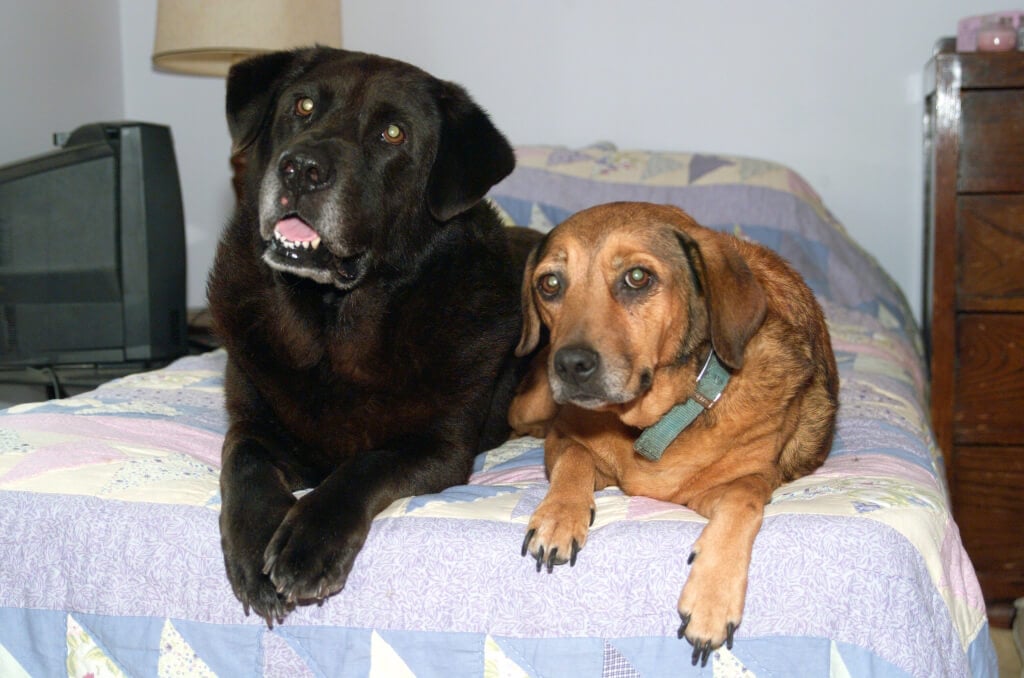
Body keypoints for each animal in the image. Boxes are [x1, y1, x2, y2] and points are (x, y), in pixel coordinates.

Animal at [209, 47, 544, 630]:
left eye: (393, 133)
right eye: (302, 105)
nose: (301, 168)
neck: (330, 331)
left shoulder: (438, 448)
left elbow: (363, 466)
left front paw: (306, 543)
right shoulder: (252, 419)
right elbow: (243, 462)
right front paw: (254, 548)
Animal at [507, 201, 835, 667]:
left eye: (637, 277)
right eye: (549, 284)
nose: (569, 365)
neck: (652, 420)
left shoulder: (736, 482)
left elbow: (743, 499)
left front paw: (711, 599)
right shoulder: (566, 436)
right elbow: (575, 460)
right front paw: (558, 517)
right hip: (533, 401)